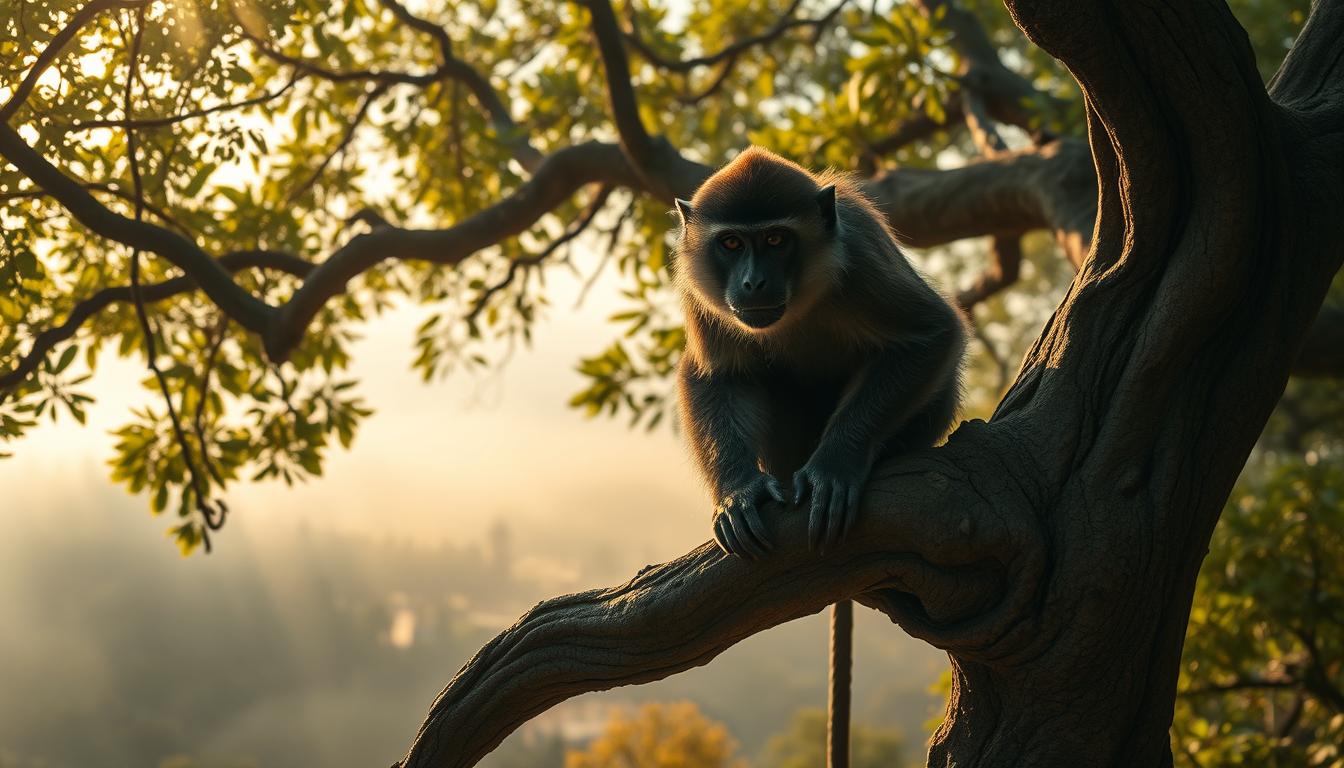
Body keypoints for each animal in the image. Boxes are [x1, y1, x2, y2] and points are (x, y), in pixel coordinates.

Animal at [672, 146, 966, 768]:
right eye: (731, 244)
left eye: (776, 239)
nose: (753, 280)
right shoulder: (700, 289)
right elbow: (716, 374)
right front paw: (738, 494)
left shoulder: (862, 261)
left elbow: (929, 335)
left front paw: (835, 469)